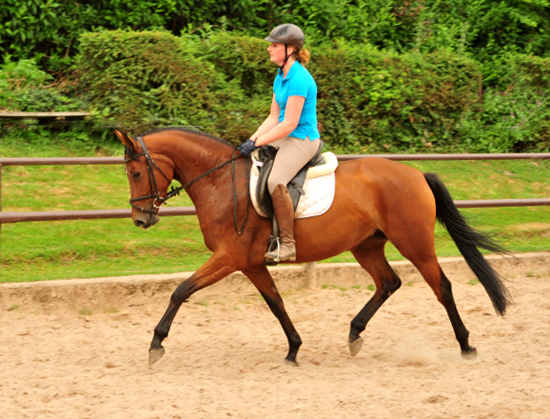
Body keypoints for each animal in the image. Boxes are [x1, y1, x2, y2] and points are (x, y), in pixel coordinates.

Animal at [115, 129, 512, 368]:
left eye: (136, 173)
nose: (140, 219)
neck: (220, 182)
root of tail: (416, 174)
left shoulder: (229, 257)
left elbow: (181, 291)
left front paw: (156, 343)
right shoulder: (251, 263)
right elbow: (276, 303)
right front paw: (293, 348)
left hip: (415, 243)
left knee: (441, 287)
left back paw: (466, 345)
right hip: (366, 246)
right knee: (388, 282)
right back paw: (355, 333)